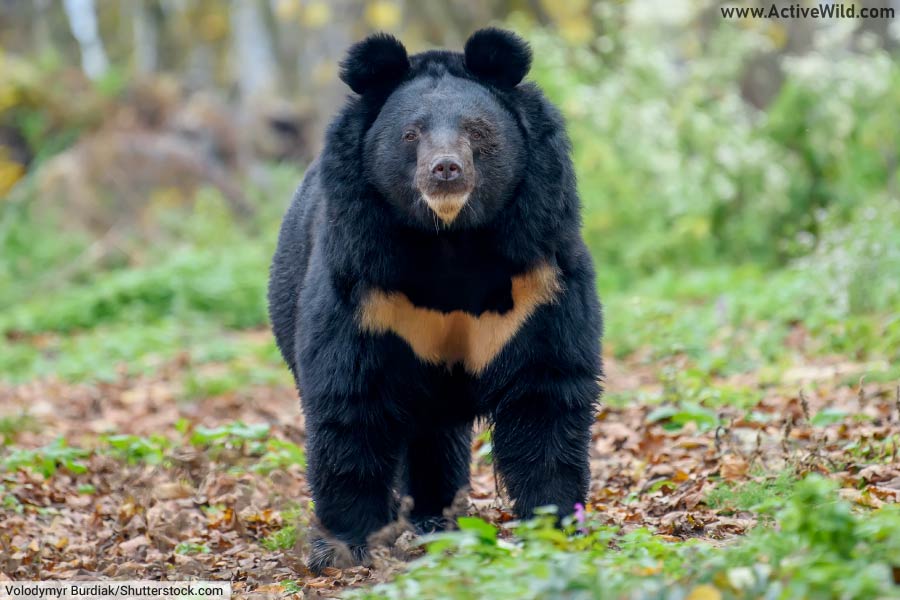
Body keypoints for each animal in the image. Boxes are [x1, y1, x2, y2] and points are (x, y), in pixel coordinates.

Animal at [268, 28, 602, 573]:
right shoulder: (364, 283)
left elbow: (546, 391)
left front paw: (554, 523)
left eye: (477, 131)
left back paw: (437, 519)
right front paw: (343, 547)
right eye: (411, 134)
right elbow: (350, 399)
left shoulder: (539, 274)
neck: (450, 239)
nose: (446, 170)